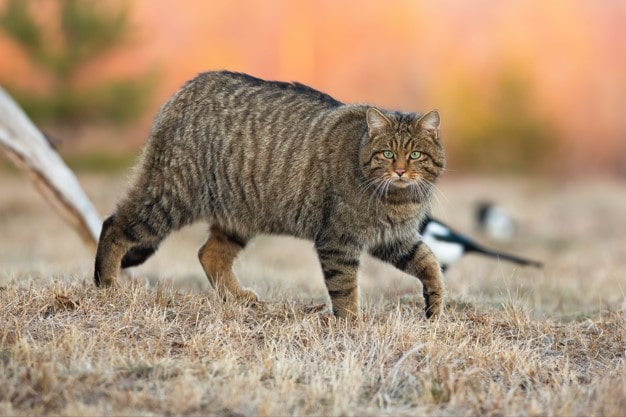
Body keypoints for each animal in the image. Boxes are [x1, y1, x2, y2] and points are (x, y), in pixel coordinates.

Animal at [94, 71, 444, 318]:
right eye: (388, 154)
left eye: (415, 155)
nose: (400, 171)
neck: (397, 201)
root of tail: (187, 88)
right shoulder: (338, 241)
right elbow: (345, 289)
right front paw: (351, 325)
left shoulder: (396, 239)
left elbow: (430, 263)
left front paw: (436, 307)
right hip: (169, 197)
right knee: (113, 225)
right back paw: (106, 284)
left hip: (237, 215)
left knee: (209, 254)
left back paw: (236, 297)